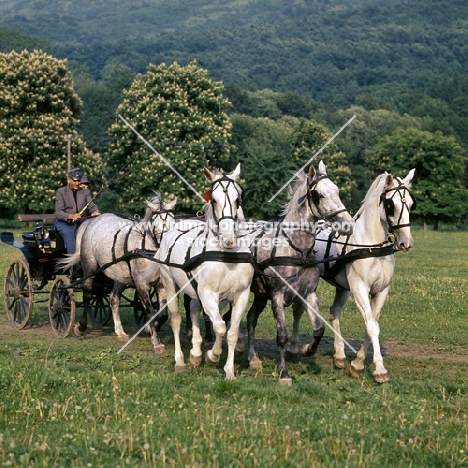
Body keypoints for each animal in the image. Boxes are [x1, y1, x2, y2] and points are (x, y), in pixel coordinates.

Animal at [57, 191, 177, 352]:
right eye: (156, 225)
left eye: (174, 222)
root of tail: (93, 221)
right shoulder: (141, 283)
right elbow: (150, 311)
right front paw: (156, 341)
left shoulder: (161, 284)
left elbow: (162, 314)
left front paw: (149, 329)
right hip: (90, 268)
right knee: (87, 295)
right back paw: (80, 327)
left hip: (120, 276)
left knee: (114, 299)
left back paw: (120, 332)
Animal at [155, 165, 254, 380]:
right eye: (214, 199)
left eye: (238, 198)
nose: (228, 238)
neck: (226, 255)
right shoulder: (208, 293)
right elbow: (220, 327)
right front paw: (212, 356)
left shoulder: (240, 295)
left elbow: (231, 332)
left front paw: (229, 371)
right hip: (169, 282)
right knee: (176, 319)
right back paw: (180, 360)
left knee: (193, 308)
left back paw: (195, 352)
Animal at [243, 161, 352, 384]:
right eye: (319, 195)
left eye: (337, 191)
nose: (347, 224)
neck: (296, 250)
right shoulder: (277, 295)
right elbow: (282, 336)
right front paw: (284, 373)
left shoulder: (308, 293)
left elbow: (318, 329)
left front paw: (307, 349)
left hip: (260, 295)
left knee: (250, 318)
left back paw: (253, 358)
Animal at [310, 170, 416, 382]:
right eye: (391, 205)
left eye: (410, 203)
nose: (406, 242)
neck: (371, 245)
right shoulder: (359, 288)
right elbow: (372, 326)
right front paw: (380, 370)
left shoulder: (381, 290)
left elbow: (371, 324)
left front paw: (357, 364)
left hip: (343, 287)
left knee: (335, 311)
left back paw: (339, 356)